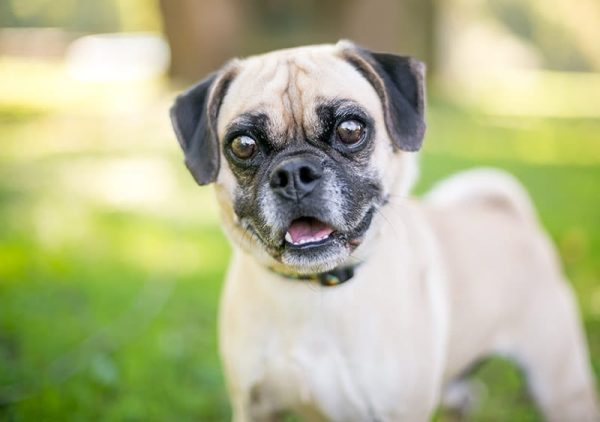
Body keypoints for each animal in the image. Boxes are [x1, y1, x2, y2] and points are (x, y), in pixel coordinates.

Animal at [170, 40, 600, 422]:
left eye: (350, 129)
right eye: (243, 145)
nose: (294, 173)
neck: (318, 290)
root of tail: (509, 214)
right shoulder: (255, 408)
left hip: (561, 386)